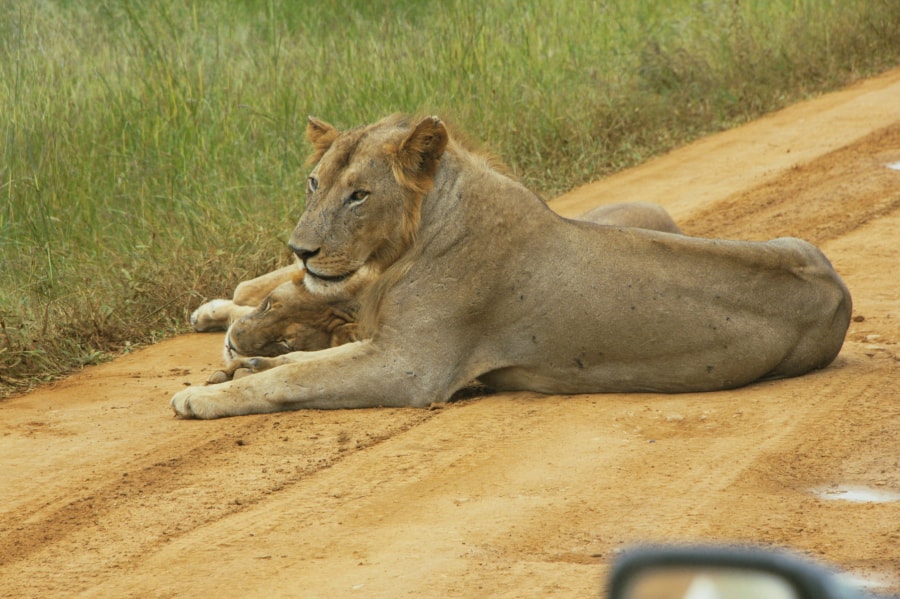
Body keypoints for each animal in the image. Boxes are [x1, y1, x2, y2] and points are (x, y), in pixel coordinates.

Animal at [171, 115, 852, 420]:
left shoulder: (412, 368)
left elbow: (294, 379)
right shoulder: (383, 340)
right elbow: (302, 364)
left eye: (359, 194)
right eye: (314, 183)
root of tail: (838, 285)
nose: (301, 250)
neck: (409, 247)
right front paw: (241, 364)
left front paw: (203, 395)